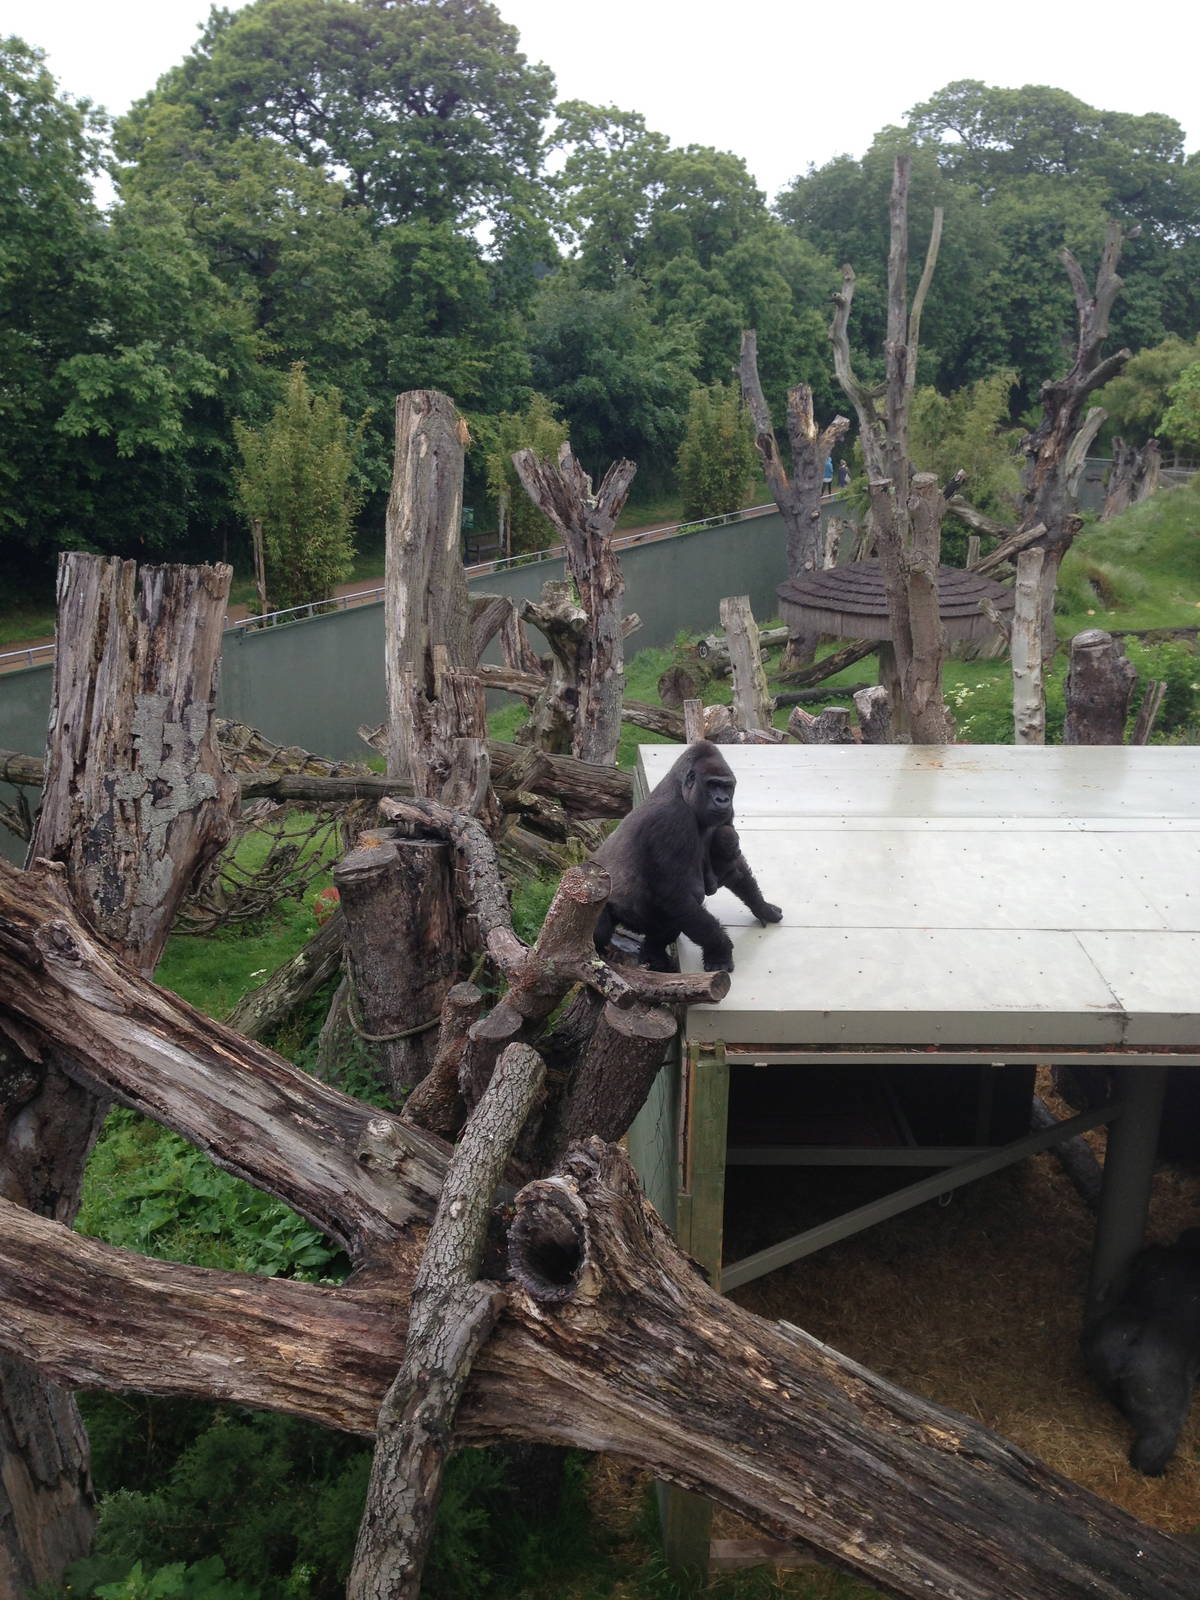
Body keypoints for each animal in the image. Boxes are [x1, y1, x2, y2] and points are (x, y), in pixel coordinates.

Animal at [591, 741, 782, 973]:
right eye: (712, 785)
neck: (681, 791)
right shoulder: (671, 820)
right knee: (601, 930)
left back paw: (654, 955)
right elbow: (676, 895)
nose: (722, 799)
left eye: (727, 786)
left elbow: (734, 868)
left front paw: (762, 907)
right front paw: (720, 950)